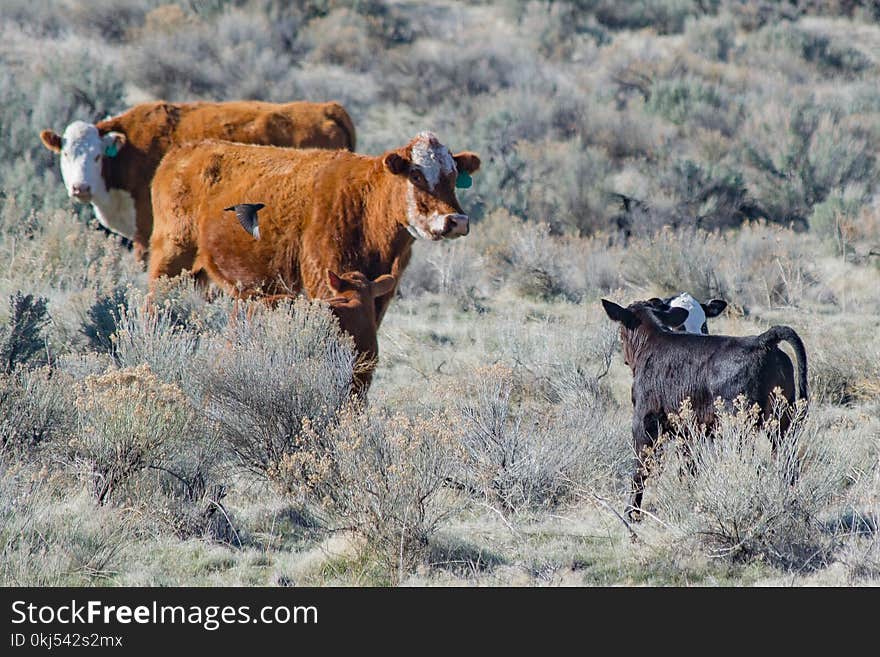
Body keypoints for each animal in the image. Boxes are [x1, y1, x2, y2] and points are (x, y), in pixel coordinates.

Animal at [151, 133, 482, 326]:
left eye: (454, 176)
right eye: (416, 174)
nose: (456, 220)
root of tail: (183, 151)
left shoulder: (382, 291)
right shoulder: (326, 277)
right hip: (170, 258)